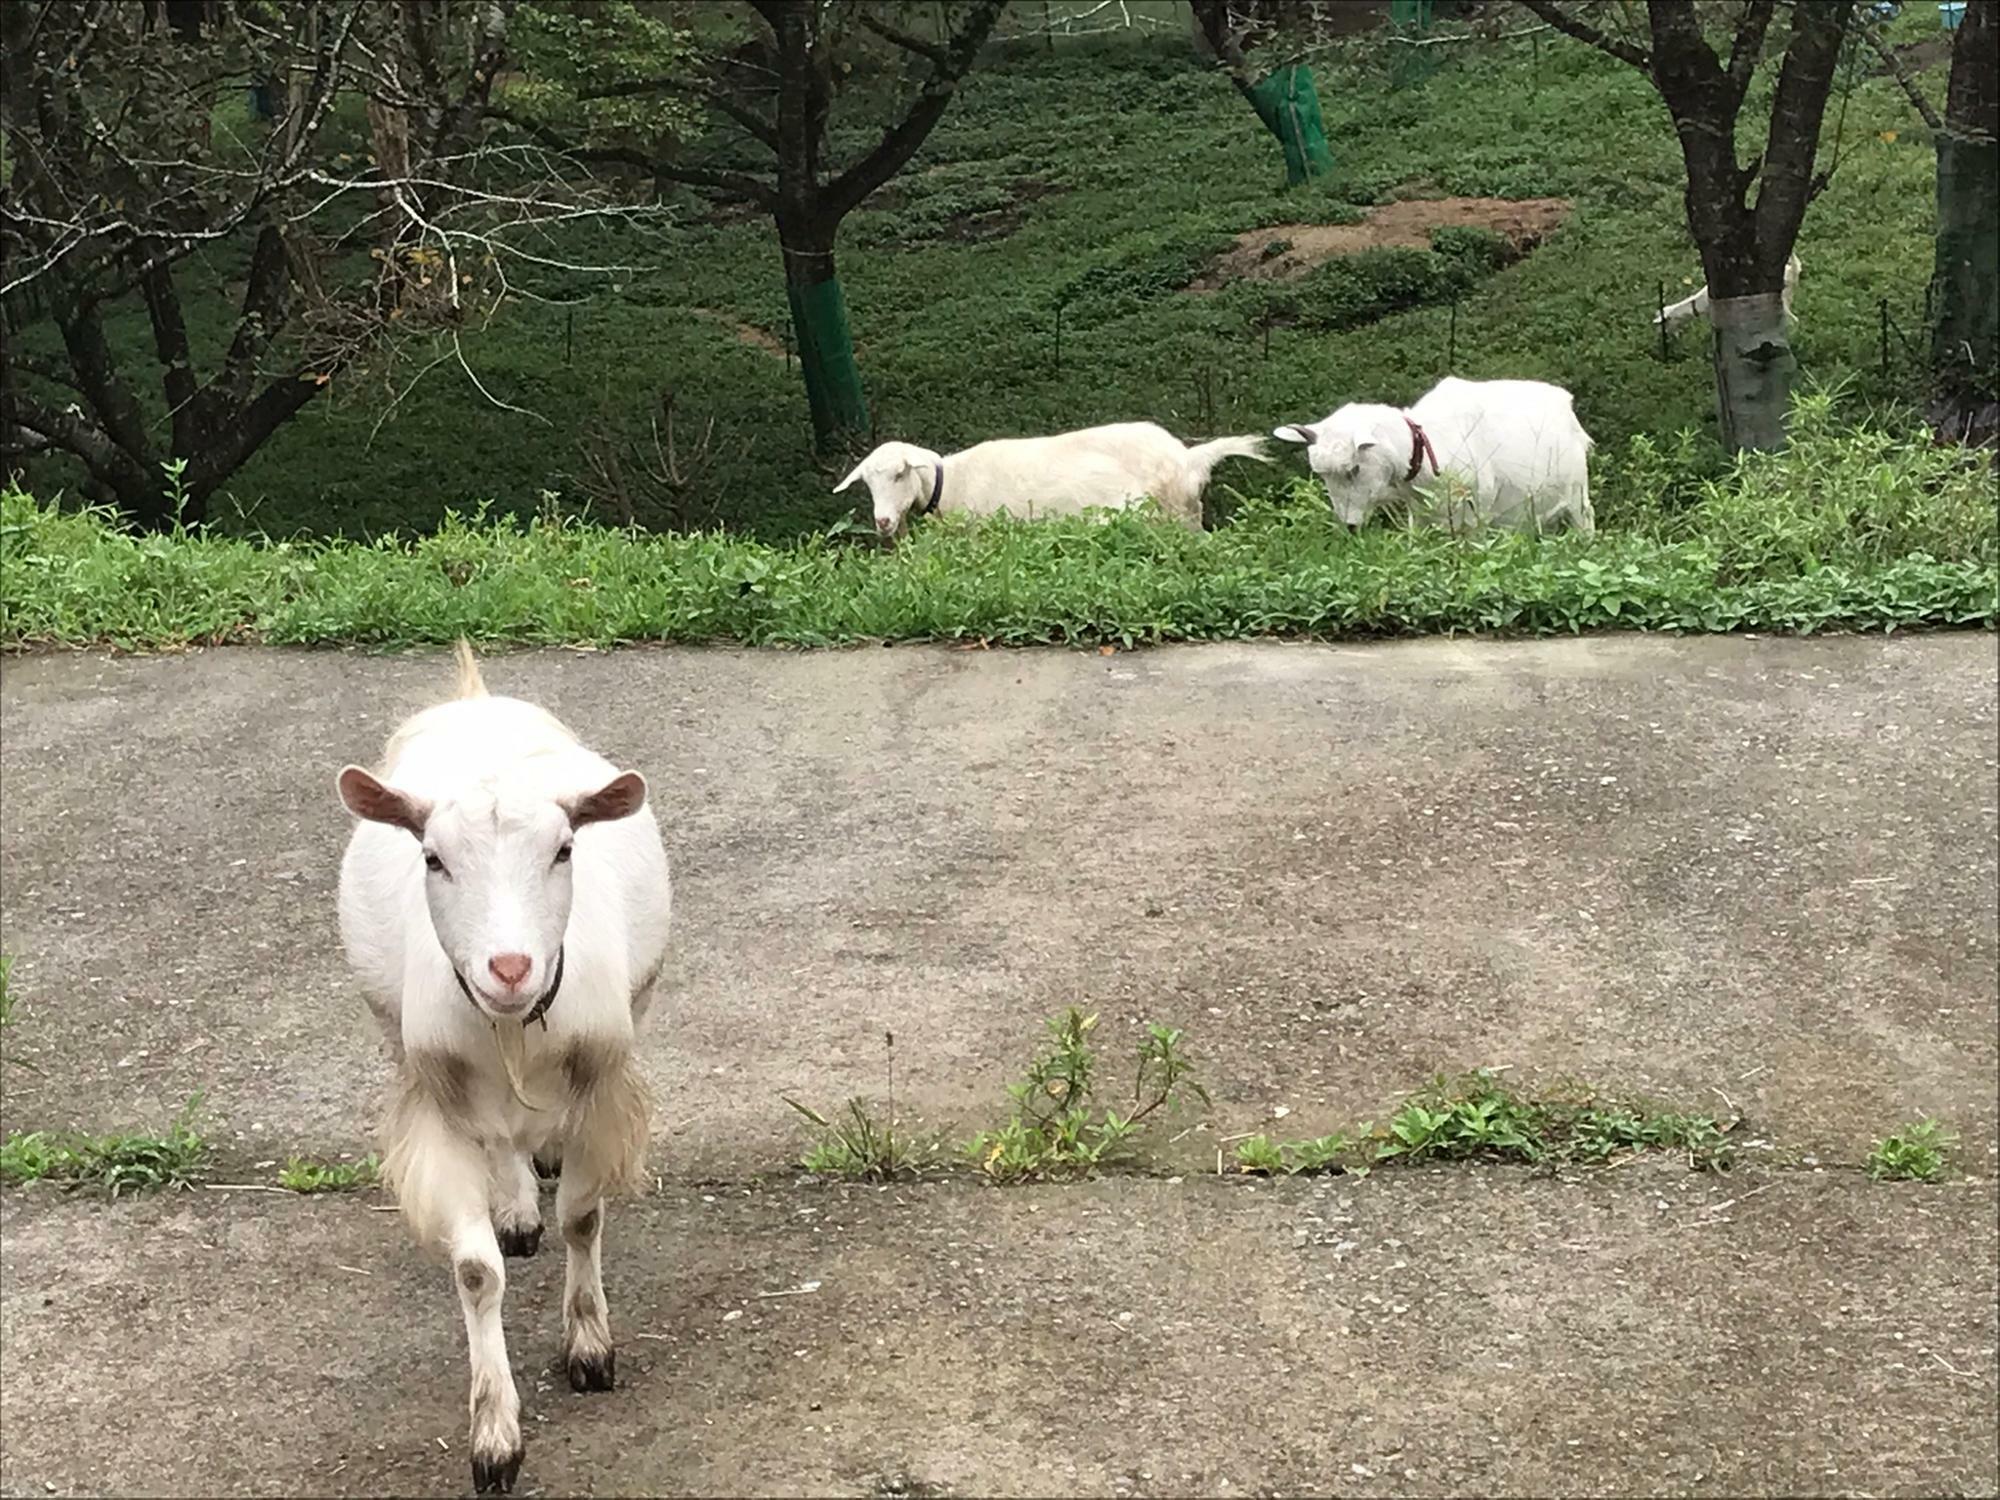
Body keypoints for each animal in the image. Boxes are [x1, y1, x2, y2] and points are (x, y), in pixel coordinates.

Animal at [332, 640, 668, 1496]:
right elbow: (477, 1271)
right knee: (502, 1145)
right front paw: (495, 1437)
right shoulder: (436, 1095)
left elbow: (583, 1216)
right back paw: (516, 1205)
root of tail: (476, 700)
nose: (510, 967)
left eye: (563, 849)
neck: (515, 1025)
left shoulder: (601, 1080)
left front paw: (590, 1349)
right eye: (433, 858)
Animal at [828, 420, 1264, 536]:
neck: (952, 483)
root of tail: (1187, 458)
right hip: (1186, 516)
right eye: (868, 483)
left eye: (901, 473)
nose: (883, 521)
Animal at [1280, 374, 1592, 536]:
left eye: (1354, 469)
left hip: (1577, 492)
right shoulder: (1420, 515)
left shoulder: (1476, 512)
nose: (1350, 526)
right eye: (1323, 476)